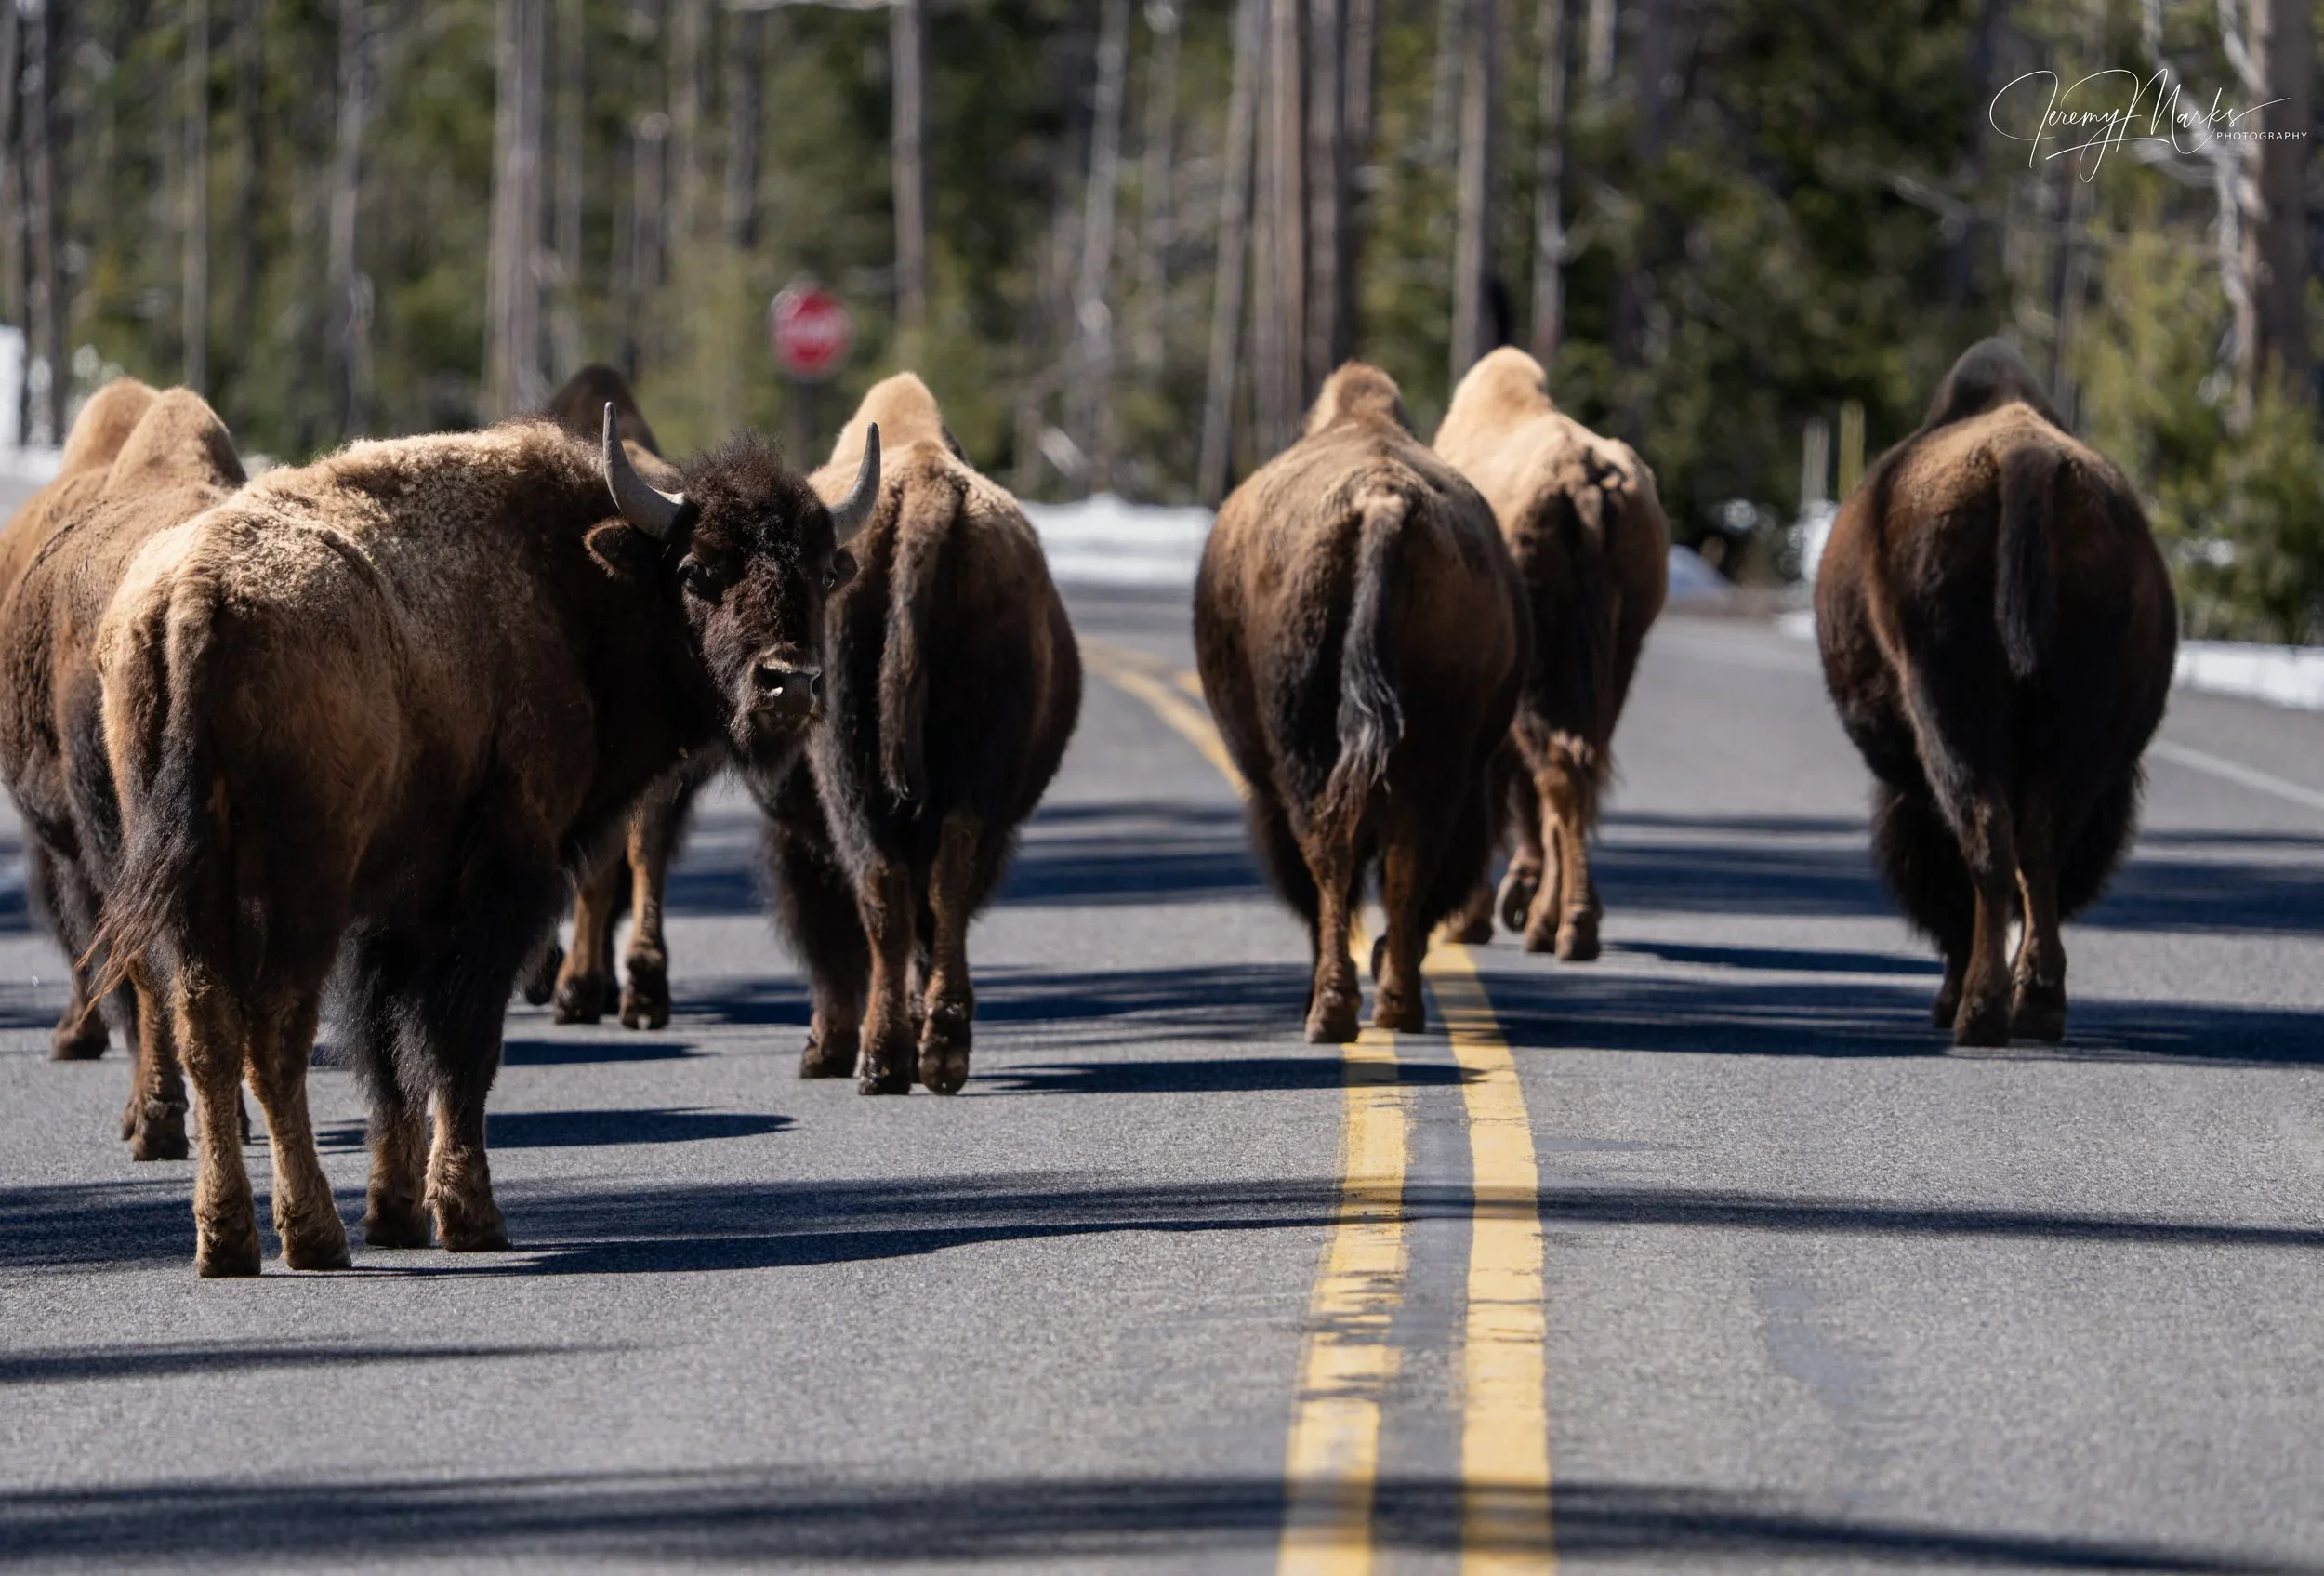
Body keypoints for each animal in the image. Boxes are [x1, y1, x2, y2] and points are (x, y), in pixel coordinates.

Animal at [92, 411, 877, 1274]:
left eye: (820, 572)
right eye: (700, 569)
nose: (790, 682)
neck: (572, 586)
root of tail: (196, 598)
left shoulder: (399, 906)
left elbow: (389, 1054)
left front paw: (397, 1213)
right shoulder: (503, 879)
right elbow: (462, 1044)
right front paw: (470, 1216)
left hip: (195, 890)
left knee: (208, 1032)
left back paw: (228, 1239)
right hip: (303, 887)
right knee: (274, 1033)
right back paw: (313, 1235)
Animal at [756, 373, 1079, 1095]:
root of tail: (928, 488)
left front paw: (823, 1049)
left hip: (850, 772)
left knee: (882, 889)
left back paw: (881, 1061)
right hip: (977, 774)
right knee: (946, 880)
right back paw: (941, 1051)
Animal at [1195, 363, 1527, 1040]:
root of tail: (1381, 501)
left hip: (1306, 755)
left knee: (1332, 852)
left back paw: (1334, 1010)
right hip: (1434, 752)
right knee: (1404, 858)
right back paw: (1392, 1004)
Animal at [1434, 347, 1669, 958]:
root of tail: (1582, 485)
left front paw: (1468, 918)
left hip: (1542, 667)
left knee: (1557, 770)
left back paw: (1559, 925)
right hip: (1621, 651)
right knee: (1581, 768)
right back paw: (1570, 918)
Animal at [1815, 338, 2176, 1045]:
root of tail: (2025, 459)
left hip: (1952, 712)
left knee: (1986, 838)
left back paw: (1977, 1012)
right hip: (2075, 726)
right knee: (2039, 845)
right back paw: (2036, 1005)